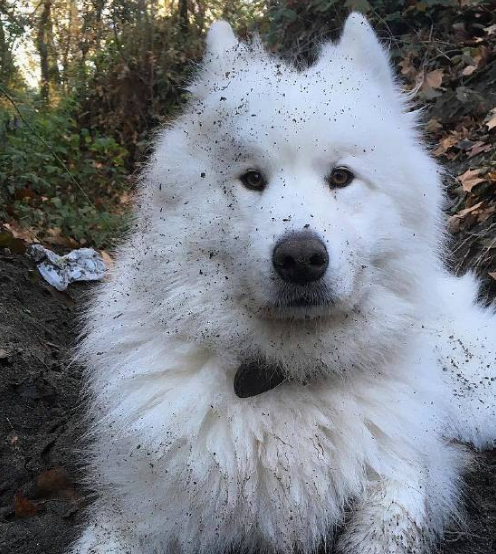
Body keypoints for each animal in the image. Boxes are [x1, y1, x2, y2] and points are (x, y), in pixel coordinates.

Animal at [71, 12, 496, 552]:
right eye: (253, 179)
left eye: (341, 177)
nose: (300, 259)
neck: (286, 373)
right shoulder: (134, 511)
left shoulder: (403, 462)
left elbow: (394, 512)